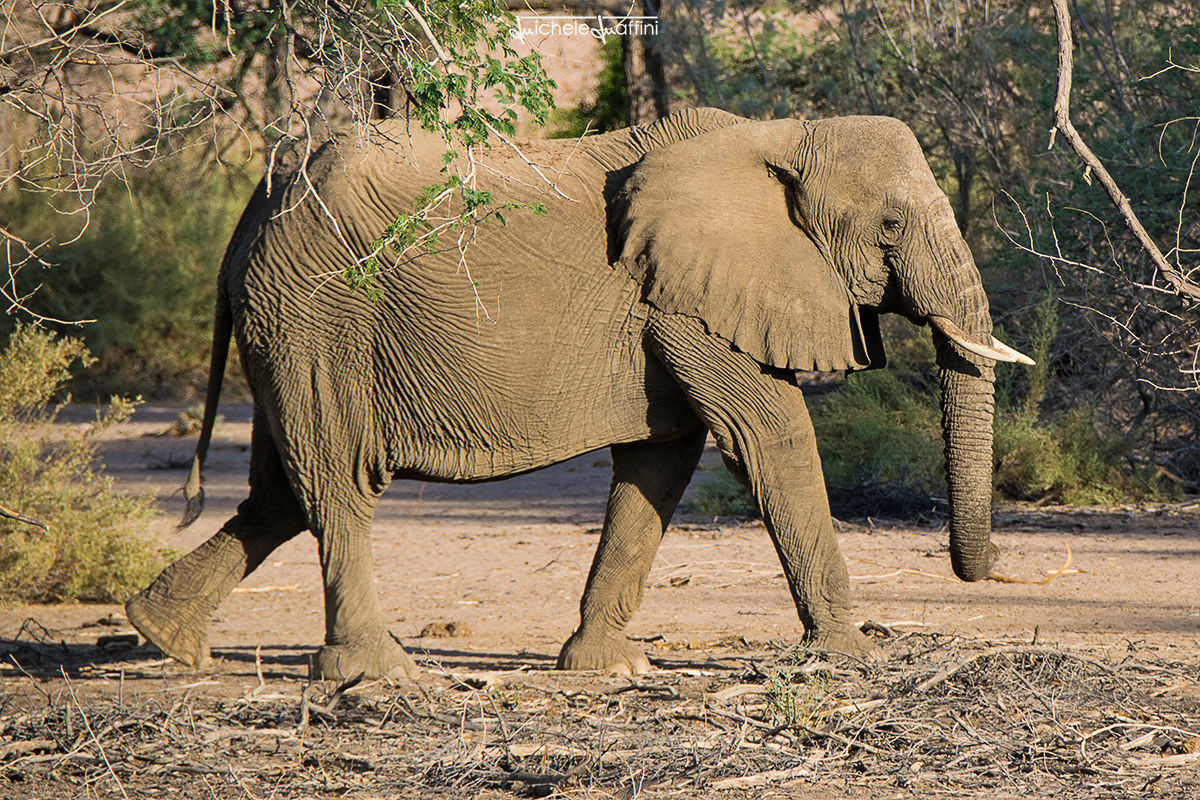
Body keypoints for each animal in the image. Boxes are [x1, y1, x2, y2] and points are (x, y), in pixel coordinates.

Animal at [125, 107, 1031, 680]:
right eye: (889, 228)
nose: (990, 574)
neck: (782, 134)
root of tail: (251, 217)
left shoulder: (671, 303)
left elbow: (661, 460)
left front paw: (608, 667)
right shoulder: (684, 299)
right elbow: (768, 433)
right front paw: (853, 655)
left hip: (288, 322)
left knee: (281, 490)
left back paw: (163, 638)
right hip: (321, 312)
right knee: (335, 481)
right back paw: (379, 676)